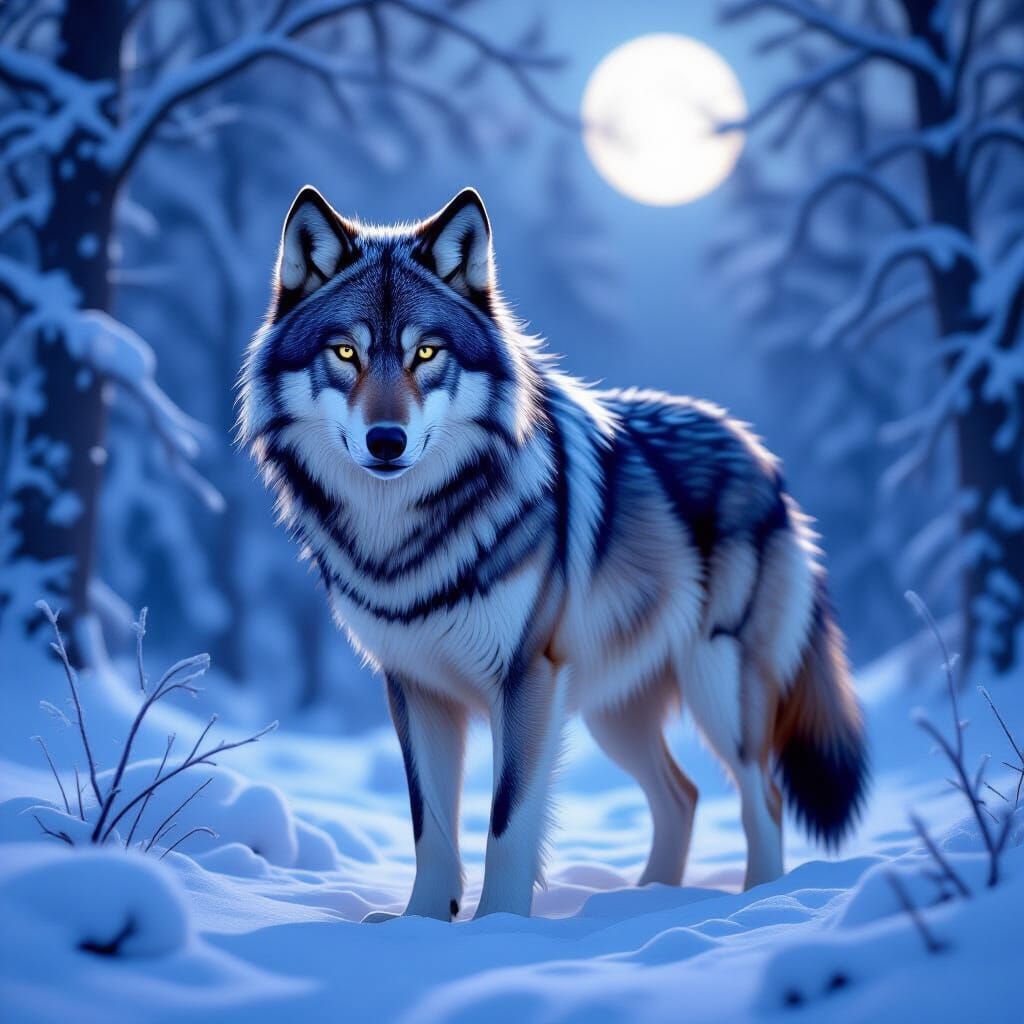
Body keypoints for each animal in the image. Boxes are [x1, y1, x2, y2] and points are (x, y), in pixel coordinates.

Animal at [239, 186, 868, 921]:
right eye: (344, 352)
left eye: (426, 353)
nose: (386, 440)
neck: (405, 537)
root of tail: (760, 454)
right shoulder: (414, 688)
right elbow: (430, 825)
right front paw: (419, 924)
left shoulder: (524, 679)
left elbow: (507, 820)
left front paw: (500, 927)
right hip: (612, 712)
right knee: (682, 795)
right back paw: (647, 901)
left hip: (717, 683)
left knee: (760, 795)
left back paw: (754, 902)